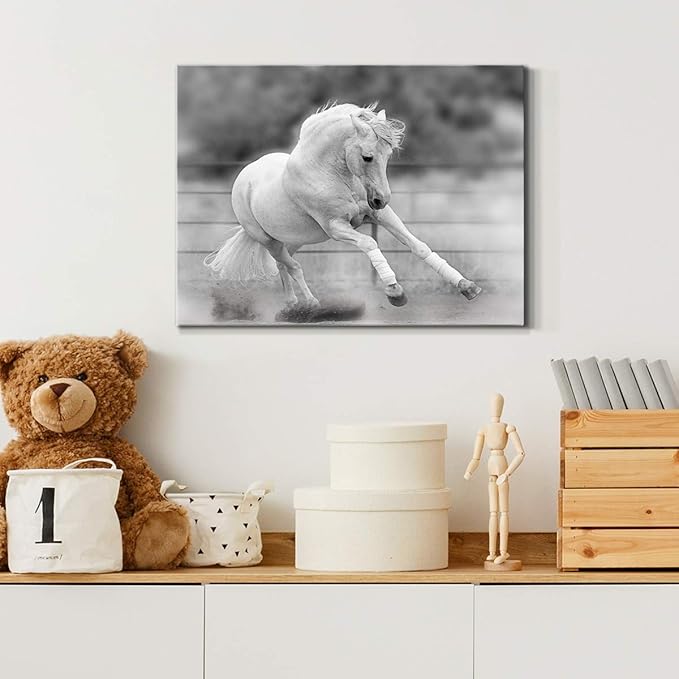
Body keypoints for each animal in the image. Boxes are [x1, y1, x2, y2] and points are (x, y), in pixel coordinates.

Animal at [204, 103, 482, 309]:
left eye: (388, 155)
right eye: (367, 157)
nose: (381, 199)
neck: (329, 173)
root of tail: (245, 177)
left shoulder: (379, 215)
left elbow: (418, 246)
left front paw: (466, 286)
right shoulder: (336, 227)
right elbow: (370, 244)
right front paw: (395, 292)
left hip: (293, 240)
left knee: (283, 265)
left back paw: (293, 303)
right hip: (267, 240)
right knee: (293, 266)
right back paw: (310, 304)